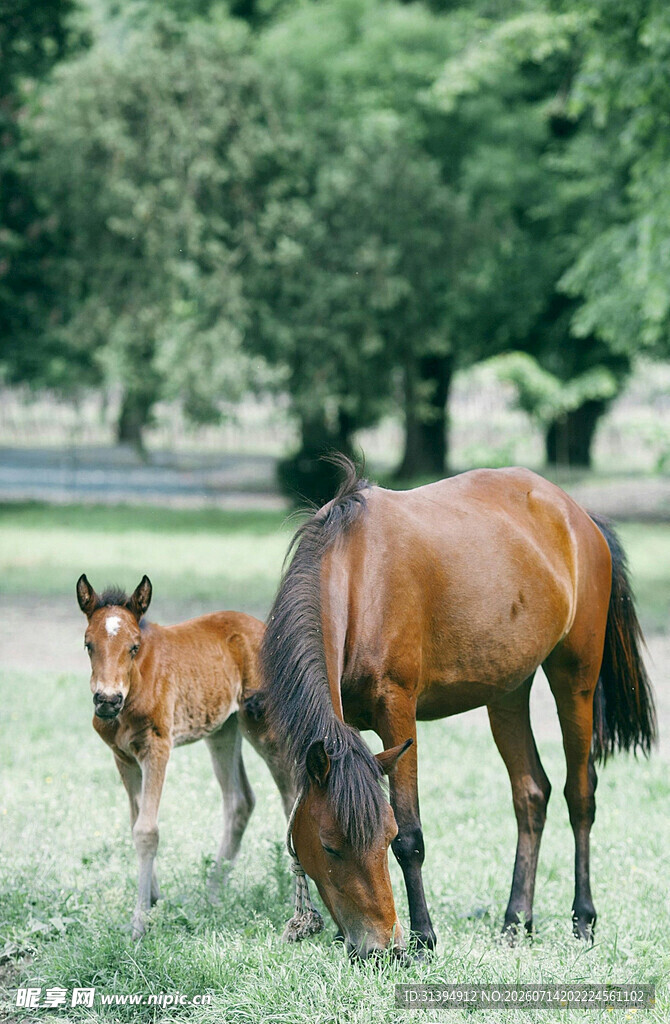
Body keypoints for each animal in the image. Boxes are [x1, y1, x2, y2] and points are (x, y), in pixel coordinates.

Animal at [76, 574, 321, 940]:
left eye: (134, 646)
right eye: (88, 644)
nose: (107, 699)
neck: (136, 685)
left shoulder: (157, 747)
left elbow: (147, 830)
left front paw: (139, 922)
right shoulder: (123, 757)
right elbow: (135, 821)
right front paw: (152, 900)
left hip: (263, 728)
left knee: (290, 797)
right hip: (223, 730)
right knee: (239, 801)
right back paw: (213, 894)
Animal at [259, 461, 656, 959]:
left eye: (384, 837)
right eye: (329, 847)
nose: (377, 949)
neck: (357, 577)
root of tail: (580, 517)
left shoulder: (397, 711)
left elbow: (412, 836)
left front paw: (424, 939)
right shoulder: (346, 727)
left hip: (575, 679)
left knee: (579, 795)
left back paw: (582, 920)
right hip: (507, 691)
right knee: (531, 794)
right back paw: (515, 921)